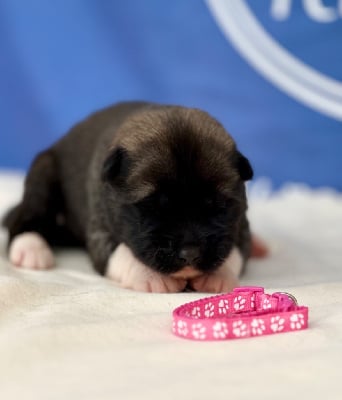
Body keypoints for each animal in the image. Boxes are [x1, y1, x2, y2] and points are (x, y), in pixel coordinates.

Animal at [2, 101, 254, 292]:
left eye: (217, 205)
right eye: (153, 206)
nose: (190, 254)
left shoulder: (241, 226)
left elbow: (236, 250)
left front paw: (218, 275)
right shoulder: (100, 231)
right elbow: (121, 253)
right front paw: (151, 276)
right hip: (43, 172)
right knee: (26, 216)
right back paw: (31, 247)